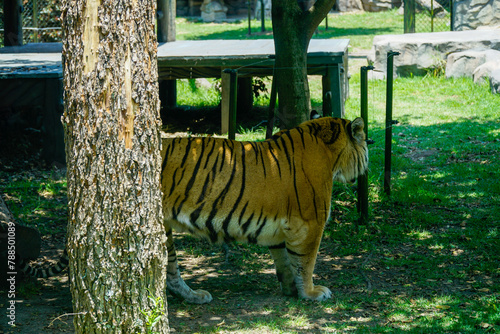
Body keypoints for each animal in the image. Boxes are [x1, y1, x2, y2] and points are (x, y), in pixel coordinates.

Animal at [162, 116, 370, 304]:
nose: (366, 166)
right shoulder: (309, 223)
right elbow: (305, 262)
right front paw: (311, 293)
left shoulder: (281, 228)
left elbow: (285, 260)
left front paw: (291, 289)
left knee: (170, 271)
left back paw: (194, 296)